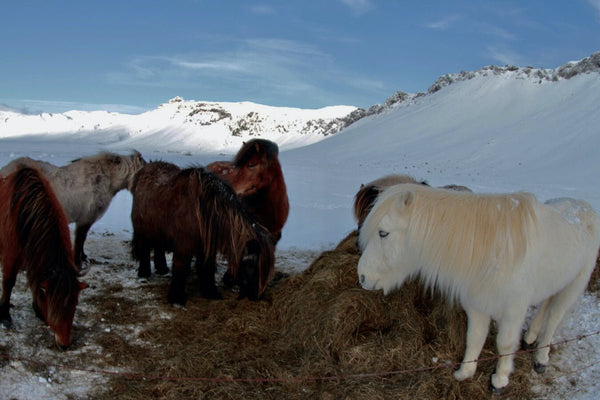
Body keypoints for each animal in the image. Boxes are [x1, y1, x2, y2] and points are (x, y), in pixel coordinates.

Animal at [0, 167, 88, 348]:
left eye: (75, 303)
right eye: (54, 303)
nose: (64, 343)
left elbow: (34, 281)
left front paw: (38, 310)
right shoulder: (10, 255)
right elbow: (9, 283)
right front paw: (5, 316)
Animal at [131, 161, 276, 304]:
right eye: (252, 265)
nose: (256, 296)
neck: (205, 211)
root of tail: (144, 169)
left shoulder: (207, 247)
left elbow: (207, 268)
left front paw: (210, 293)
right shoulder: (184, 248)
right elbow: (181, 269)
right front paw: (176, 298)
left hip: (159, 233)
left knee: (159, 249)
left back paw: (162, 270)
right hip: (142, 233)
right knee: (144, 252)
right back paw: (144, 274)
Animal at [356, 184, 600, 390]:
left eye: (383, 233)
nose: (362, 276)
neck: (492, 252)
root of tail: (585, 206)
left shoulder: (513, 311)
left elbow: (504, 343)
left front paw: (500, 380)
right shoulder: (476, 306)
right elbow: (474, 337)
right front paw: (465, 372)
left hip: (574, 285)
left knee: (554, 319)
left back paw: (541, 358)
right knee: (546, 305)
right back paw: (530, 337)